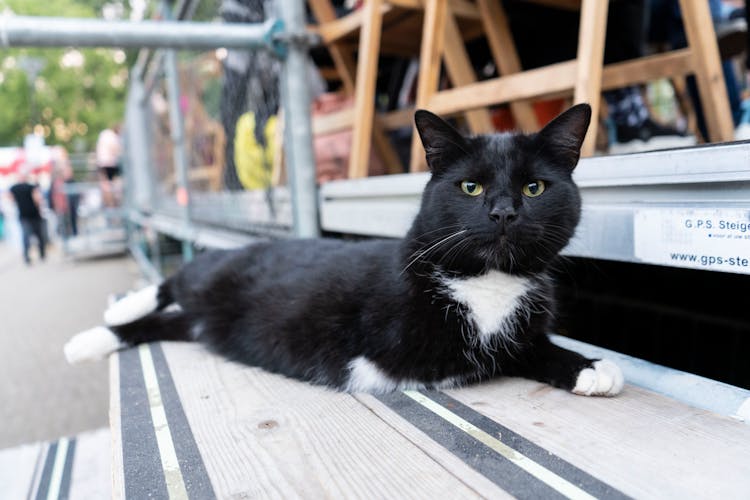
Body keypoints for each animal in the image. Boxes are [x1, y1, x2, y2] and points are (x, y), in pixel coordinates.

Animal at [67, 103, 624, 396]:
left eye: (534, 188)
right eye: (471, 187)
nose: (504, 213)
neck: (491, 280)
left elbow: (524, 346)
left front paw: (589, 366)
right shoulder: (413, 342)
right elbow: (491, 350)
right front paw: (590, 365)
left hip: (205, 320)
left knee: (165, 323)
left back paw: (96, 339)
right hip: (214, 274)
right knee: (176, 280)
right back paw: (105, 322)